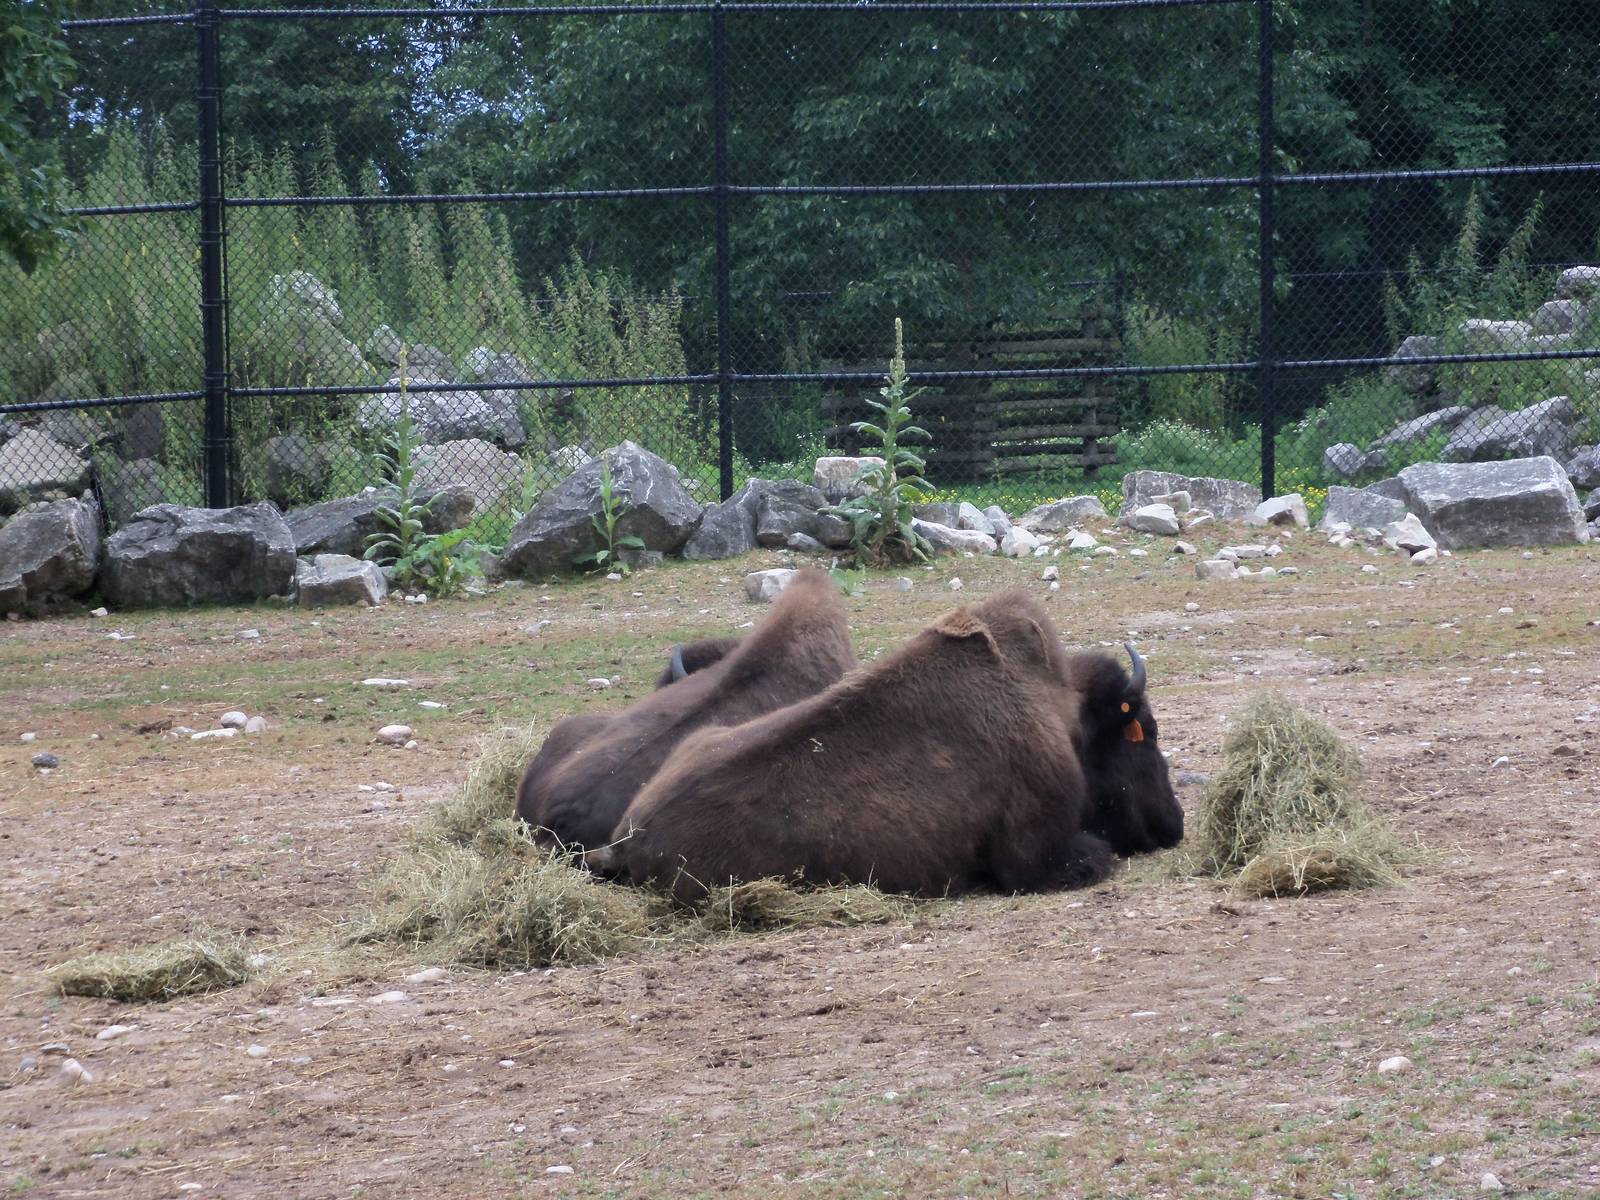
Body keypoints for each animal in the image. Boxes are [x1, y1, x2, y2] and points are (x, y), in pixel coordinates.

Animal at [594, 590, 1180, 900]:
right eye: (1144, 732)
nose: (1173, 823)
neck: (1058, 709)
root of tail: (628, 839)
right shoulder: (1038, 858)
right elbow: (1094, 854)